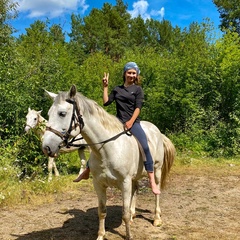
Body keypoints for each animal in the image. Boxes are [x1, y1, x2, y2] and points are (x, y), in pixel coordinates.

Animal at [42, 86, 175, 240]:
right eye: (48, 114)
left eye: (62, 113)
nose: (46, 147)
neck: (106, 150)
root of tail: (157, 131)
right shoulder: (99, 183)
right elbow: (102, 211)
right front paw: (101, 235)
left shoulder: (125, 182)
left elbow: (124, 212)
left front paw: (128, 235)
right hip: (135, 177)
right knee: (135, 190)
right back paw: (133, 215)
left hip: (157, 170)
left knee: (156, 191)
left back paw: (157, 219)